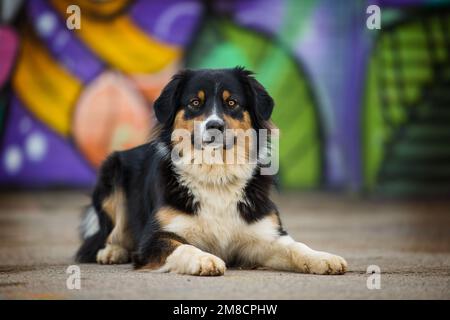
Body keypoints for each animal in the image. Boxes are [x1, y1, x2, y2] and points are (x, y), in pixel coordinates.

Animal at [76, 67, 348, 276]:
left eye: (232, 102)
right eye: (195, 103)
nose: (215, 125)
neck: (217, 174)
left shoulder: (266, 235)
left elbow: (296, 247)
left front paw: (324, 258)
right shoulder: (153, 238)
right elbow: (182, 246)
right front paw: (204, 259)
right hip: (112, 172)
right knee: (105, 234)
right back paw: (112, 251)